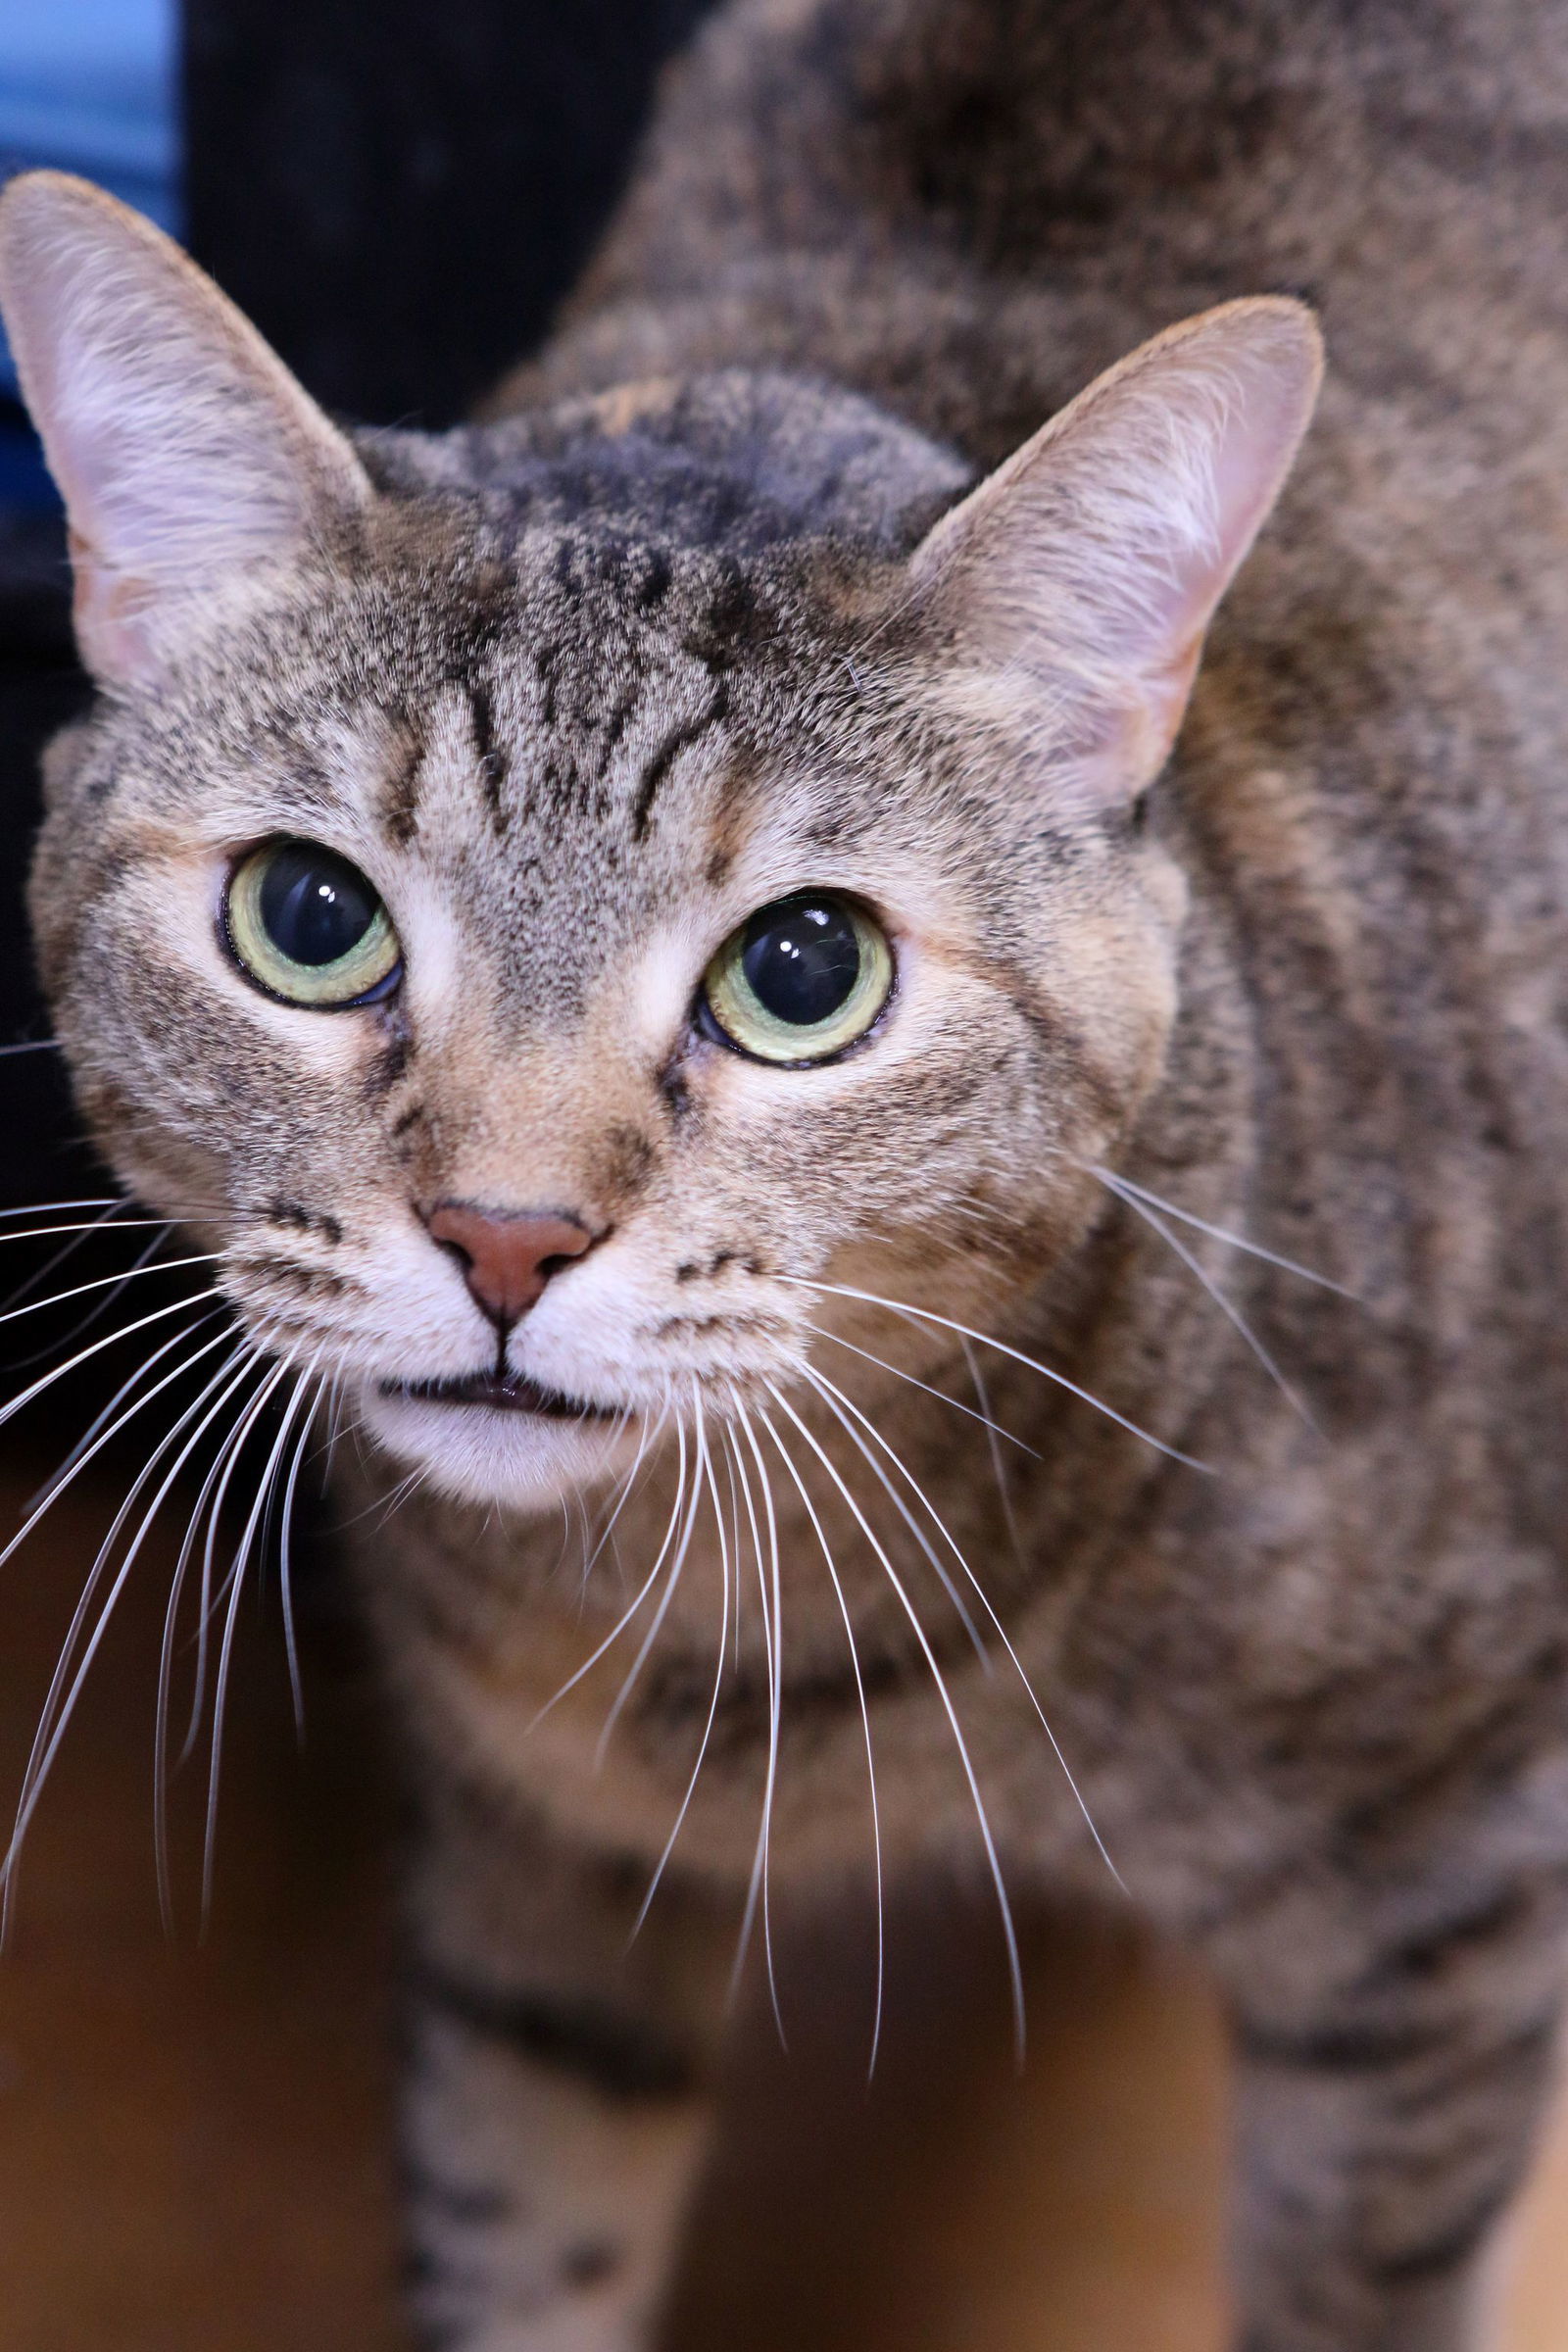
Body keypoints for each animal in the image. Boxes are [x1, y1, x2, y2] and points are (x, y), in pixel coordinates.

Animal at [3, 0, 1568, 2342]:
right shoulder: (536, 1872)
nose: (505, 1236)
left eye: (805, 970)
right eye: (309, 917)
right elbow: (521, 2222)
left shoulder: (1437, 1933)